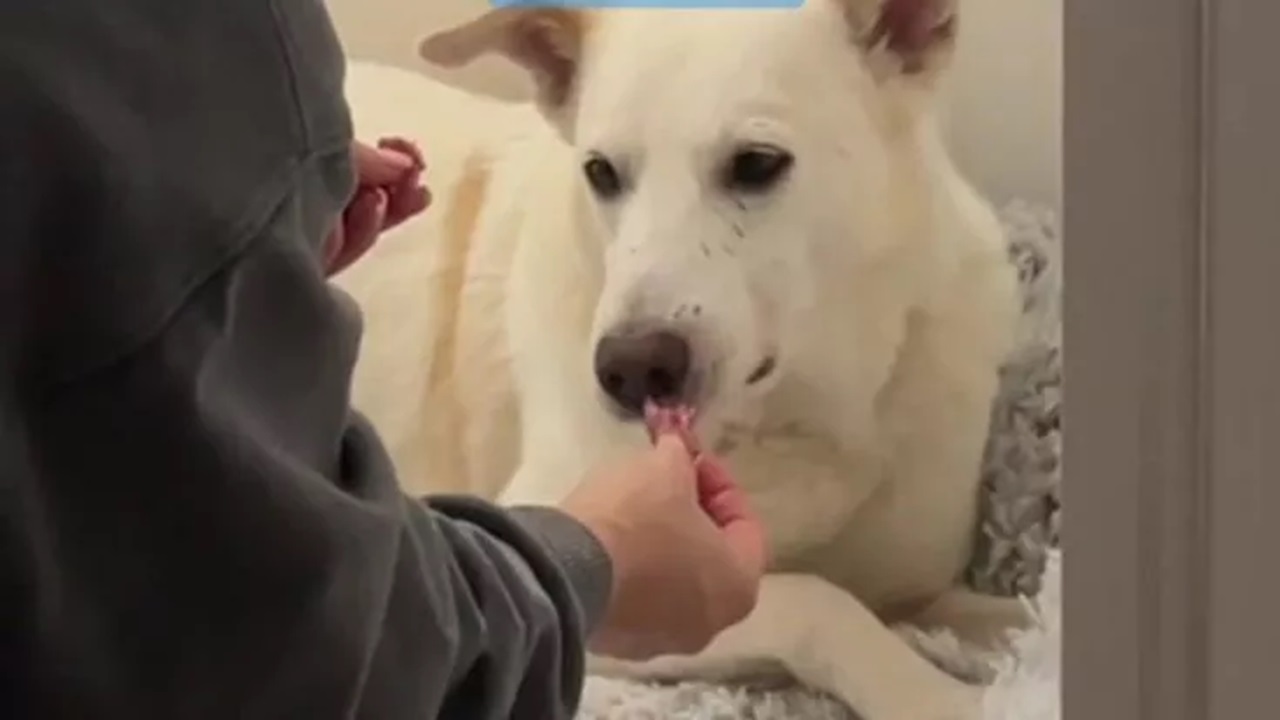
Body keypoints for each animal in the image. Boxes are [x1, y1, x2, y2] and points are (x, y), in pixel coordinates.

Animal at [335, 2, 1024, 712]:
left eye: (756, 163)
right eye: (601, 172)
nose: (629, 369)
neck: (802, 421)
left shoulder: (918, 587)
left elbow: (1000, 609)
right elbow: (818, 602)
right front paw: (943, 695)